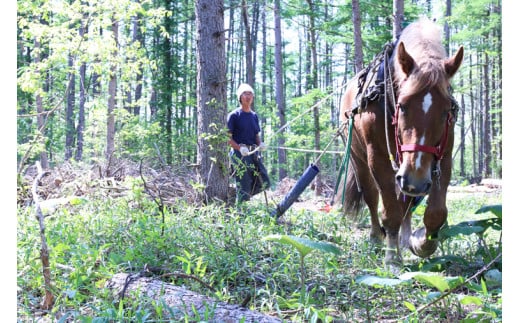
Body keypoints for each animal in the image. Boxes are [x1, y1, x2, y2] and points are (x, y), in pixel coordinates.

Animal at [336, 17, 466, 268]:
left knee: (405, 200)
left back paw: (404, 239)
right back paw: (378, 238)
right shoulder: (378, 158)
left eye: (446, 111)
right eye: (403, 105)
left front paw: (422, 243)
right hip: (360, 160)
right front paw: (392, 257)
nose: (415, 180)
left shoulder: (442, 156)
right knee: (372, 196)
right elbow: (389, 210)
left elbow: (436, 212)